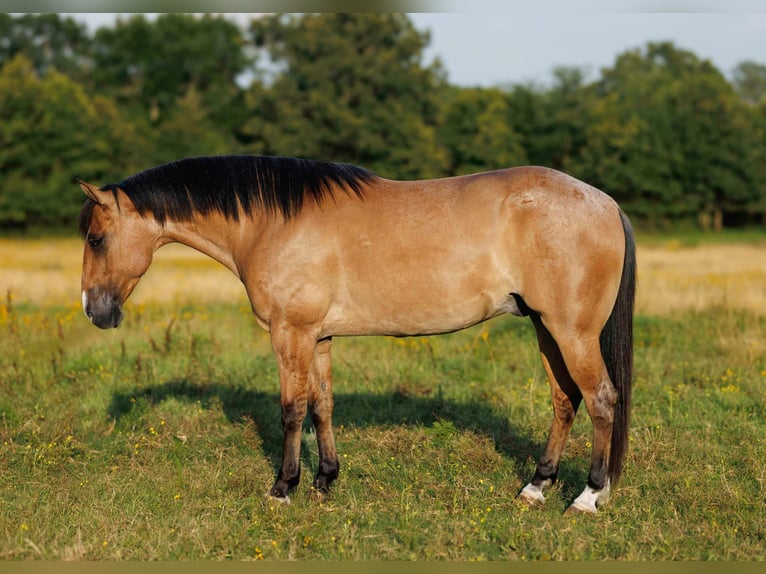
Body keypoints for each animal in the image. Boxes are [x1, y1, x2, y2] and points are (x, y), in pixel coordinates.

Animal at [76, 154, 635, 514]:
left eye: (97, 238)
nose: (93, 312)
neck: (272, 223)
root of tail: (604, 202)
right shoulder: (318, 337)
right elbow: (322, 405)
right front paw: (325, 480)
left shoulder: (290, 333)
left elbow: (292, 409)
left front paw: (283, 488)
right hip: (547, 329)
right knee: (565, 400)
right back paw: (536, 487)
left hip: (571, 332)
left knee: (601, 399)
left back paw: (588, 496)